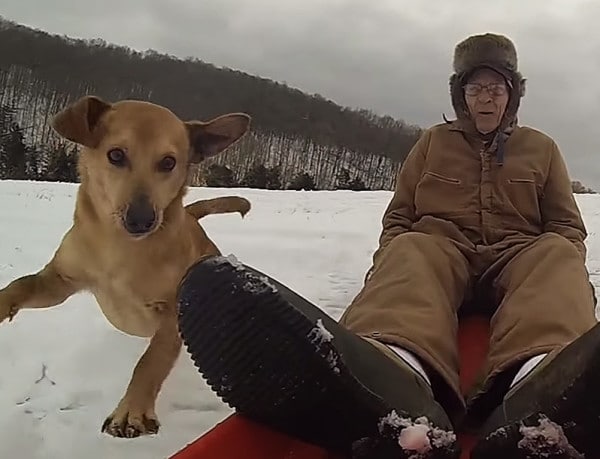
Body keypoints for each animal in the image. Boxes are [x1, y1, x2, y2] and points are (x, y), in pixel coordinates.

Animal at [0, 96, 251, 438]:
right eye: (116, 155)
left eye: (168, 162)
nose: (142, 219)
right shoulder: (59, 281)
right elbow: (20, 285)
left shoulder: (172, 311)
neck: (120, 249)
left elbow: (151, 360)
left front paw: (132, 411)